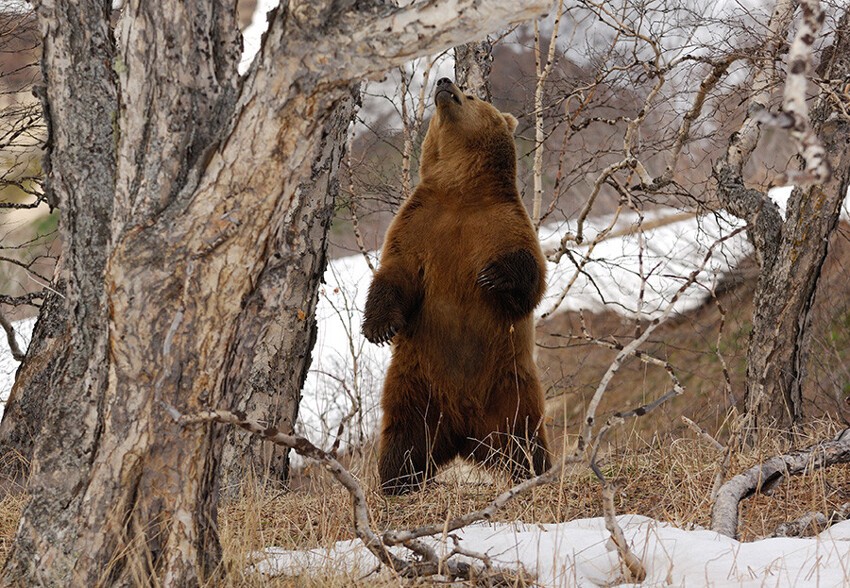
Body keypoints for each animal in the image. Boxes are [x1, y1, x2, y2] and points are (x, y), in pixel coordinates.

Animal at [360, 77, 548, 492]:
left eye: (472, 94)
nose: (445, 83)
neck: (461, 191)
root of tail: (466, 434)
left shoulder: (505, 222)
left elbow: (532, 279)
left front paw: (493, 275)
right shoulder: (419, 225)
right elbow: (396, 274)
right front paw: (378, 328)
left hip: (510, 389)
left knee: (524, 438)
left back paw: (534, 472)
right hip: (416, 387)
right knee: (404, 438)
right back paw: (397, 482)